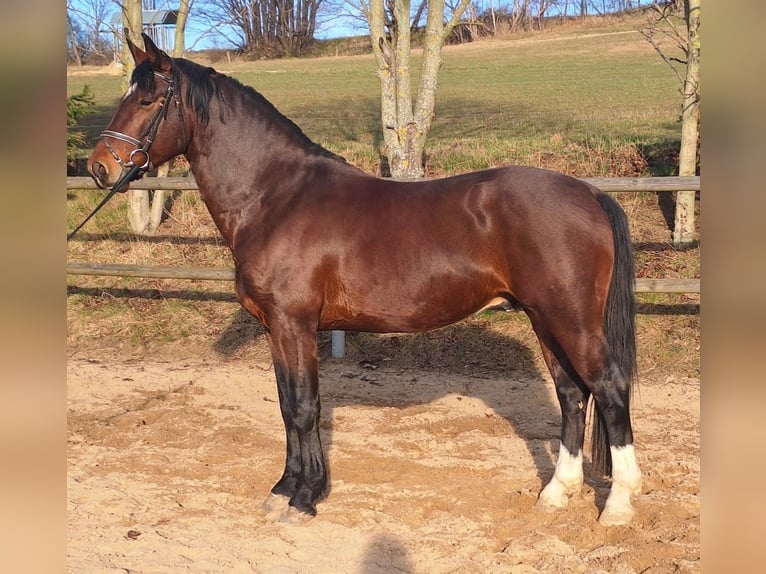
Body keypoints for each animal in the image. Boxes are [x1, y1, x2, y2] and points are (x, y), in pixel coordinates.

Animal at [85, 35, 640, 528]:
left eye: (146, 99)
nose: (99, 166)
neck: (275, 196)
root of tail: (590, 193)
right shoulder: (276, 329)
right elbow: (287, 407)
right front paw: (284, 489)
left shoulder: (294, 324)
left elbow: (305, 407)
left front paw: (304, 499)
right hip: (544, 319)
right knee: (572, 394)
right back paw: (556, 493)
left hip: (570, 320)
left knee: (609, 388)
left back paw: (617, 505)